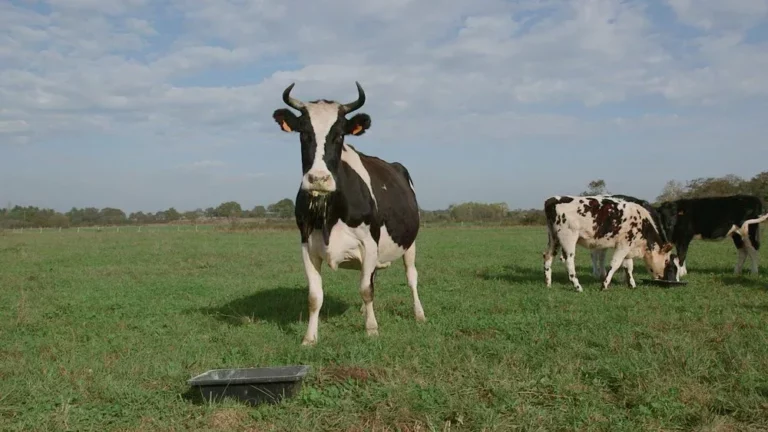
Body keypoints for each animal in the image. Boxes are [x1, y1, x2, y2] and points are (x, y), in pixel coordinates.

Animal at [270, 80, 426, 344]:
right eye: (304, 133)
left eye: (339, 135)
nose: (318, 179)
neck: (329, 214)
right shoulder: (306, 245)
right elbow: (315, 296)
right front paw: (309, 338)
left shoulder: (369, 243)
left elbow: (366, 289)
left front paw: (371, 329)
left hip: (410, 243)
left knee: (411, 277)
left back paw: (419, 314)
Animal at [544, 197, 676, 292]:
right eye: (666, 261)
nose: (662, 277)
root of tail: (553, 200)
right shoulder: (623, 245)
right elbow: (615, 264)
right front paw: (604, 285)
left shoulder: (628, 247)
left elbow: (628, 266)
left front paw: (632, 284)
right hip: (568, 238)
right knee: (569, 261)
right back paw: (578, 287)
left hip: (554, 239)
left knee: (547, 256)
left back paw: (548, 283)